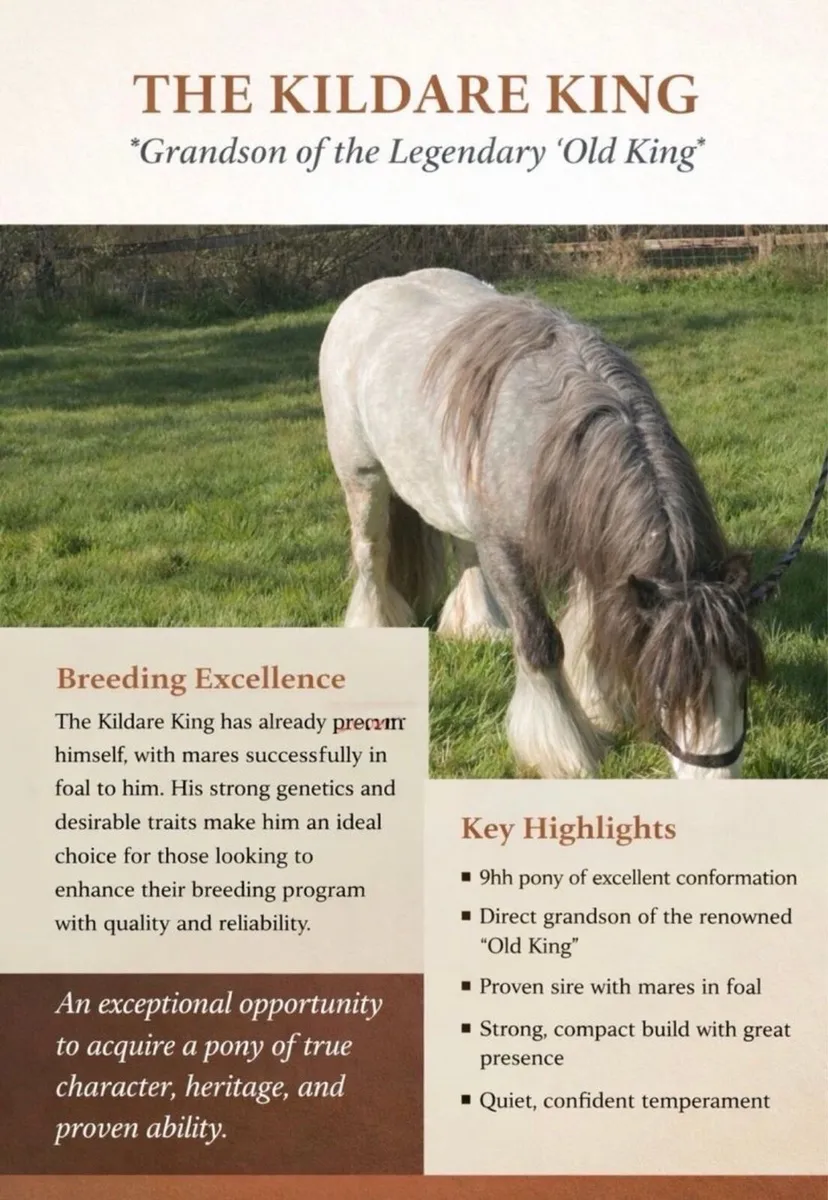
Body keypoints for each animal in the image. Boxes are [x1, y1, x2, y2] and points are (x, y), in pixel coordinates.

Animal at [319, 267, 766, 780]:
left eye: (742, 674)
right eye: (664, 685)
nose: (716, 778)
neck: (554, 435)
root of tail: (369, 291)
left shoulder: (589, 544)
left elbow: (588, 632)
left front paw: (597, 706)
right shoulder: (508, 554)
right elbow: (541, 643)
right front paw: (563, 749)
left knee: (463, 554)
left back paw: (478, 625)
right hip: (363, 479)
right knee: (371, 554)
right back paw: (376, 626)